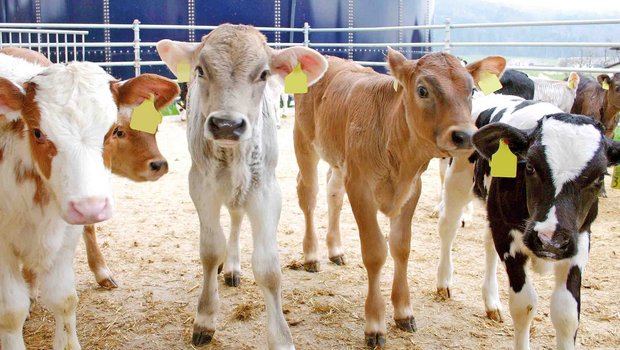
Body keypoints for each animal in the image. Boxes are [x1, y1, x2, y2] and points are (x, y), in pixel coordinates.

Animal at [0, 56, 120, 348]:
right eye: (38, 133)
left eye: (115, 131)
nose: (90, 206)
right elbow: (10, 312)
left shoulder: (65, 236)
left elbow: (64, 300)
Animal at [156, 23, 330, 348]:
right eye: (200, 70)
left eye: (263, 74)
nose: (227, 124)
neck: (233, 156)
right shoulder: (201, 186)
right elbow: (211, 250)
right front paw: (205, 318)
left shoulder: (266, 192)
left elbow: (268, 269)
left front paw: (281, 337)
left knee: (236, 219)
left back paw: (234, 266)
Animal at [294, 50, 504, 348]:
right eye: (422, 90)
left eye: (472, 90)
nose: (465, 135)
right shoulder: (360, 187)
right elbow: (375, 252)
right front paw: (375, 324)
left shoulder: (411, 188)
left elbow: (401, 247)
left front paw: (404, 312)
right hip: (304, 142)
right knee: (308, 195)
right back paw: (311, 255)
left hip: (338, 161)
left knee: (333, 193)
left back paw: (335, 250)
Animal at [472, 113, 616, 348]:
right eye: (530, 167)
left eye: (599, 178)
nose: (550, 241)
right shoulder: (505, 233)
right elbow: (524, 305)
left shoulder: (580, 240)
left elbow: (567, 314)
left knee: (487, 241)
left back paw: (491, 302)